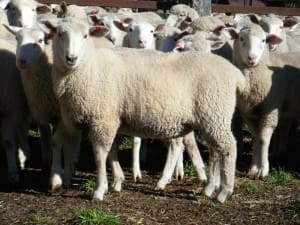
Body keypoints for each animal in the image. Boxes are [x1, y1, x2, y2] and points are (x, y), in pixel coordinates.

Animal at [42, 17, 246, 203]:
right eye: (59, 34)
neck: (90, 66)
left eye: (85, 36)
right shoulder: (84, 116)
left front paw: (100, 190)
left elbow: (100, 154)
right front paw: (114, 181)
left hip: (215, 114)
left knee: (229, 147)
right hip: (210, 119)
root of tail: (235, 73)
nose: (71, 58)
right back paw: (209, 188)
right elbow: (101, 150)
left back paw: (223, 192)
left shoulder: (103, 118)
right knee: (215, 150)